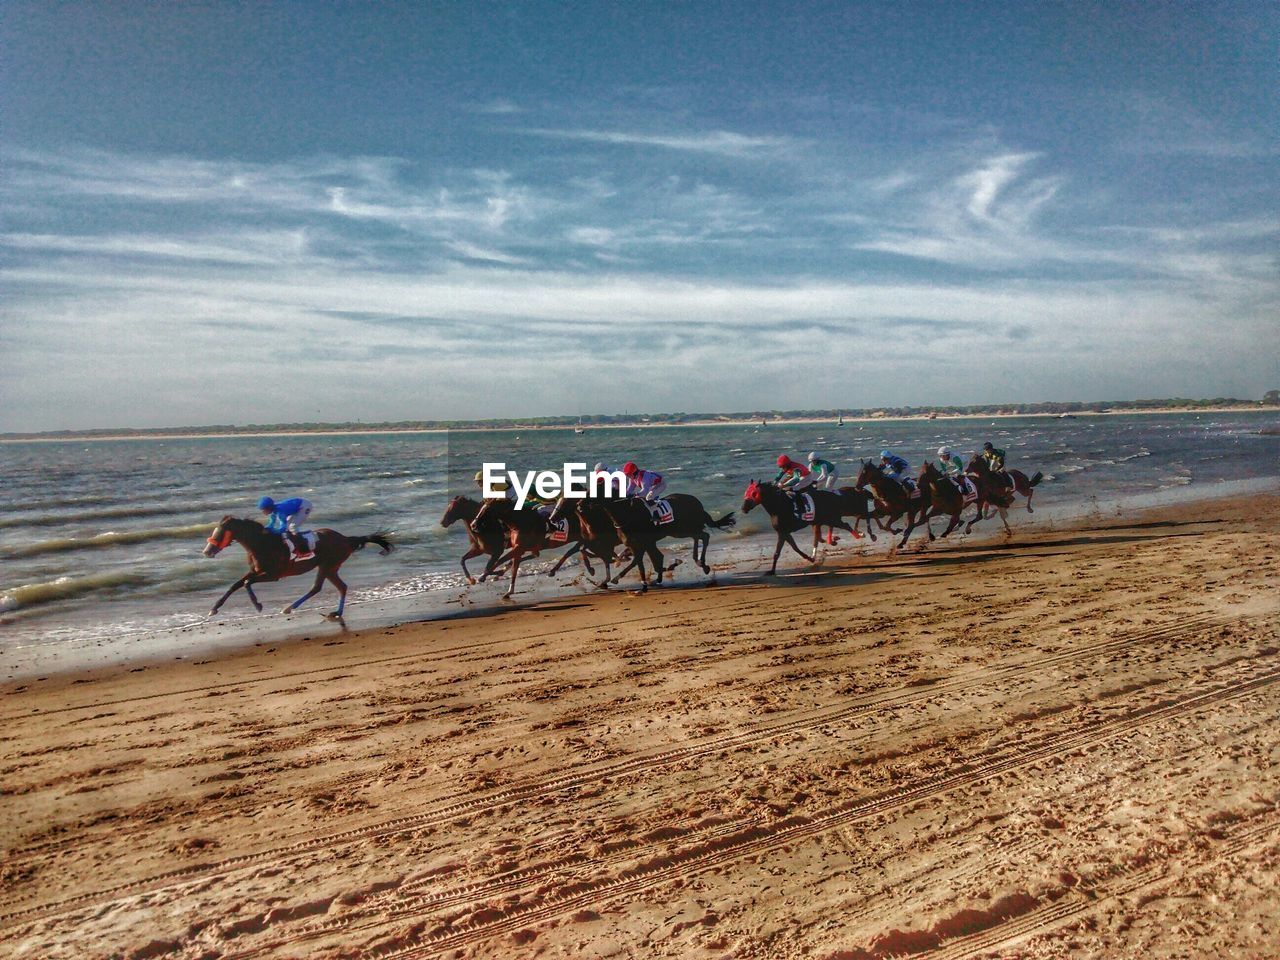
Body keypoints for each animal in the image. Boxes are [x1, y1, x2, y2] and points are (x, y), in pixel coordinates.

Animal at [202, 514, 391, 619]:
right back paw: (336, 612)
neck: (262, 544)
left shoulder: (274, 574)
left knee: (317, 587)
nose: (207, 551)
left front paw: (257, 605)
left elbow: (247, 583)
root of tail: (345, 539)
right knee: (340, 587)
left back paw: (289, 608)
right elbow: (235, 585)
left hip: (327, 565)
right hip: (330, 568)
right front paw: (213, 609)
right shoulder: (255, 571)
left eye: (221, 532)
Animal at [601, 499, 737, 591]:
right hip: (681, 530)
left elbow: (641, 562)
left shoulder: (643, 544)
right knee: (699, 537)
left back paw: (702, 564)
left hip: (683, 529)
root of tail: (696, 502)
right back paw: (699, 562)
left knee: (704, 536)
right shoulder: (638, 545)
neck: (626, 515)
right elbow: (650, 561)